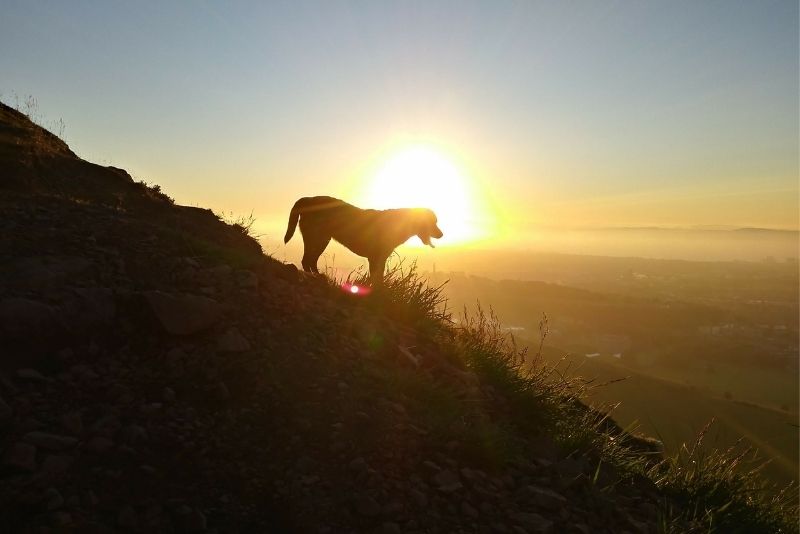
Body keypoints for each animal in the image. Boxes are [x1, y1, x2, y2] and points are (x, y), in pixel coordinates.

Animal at [284, 198, 444, 282]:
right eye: (432, 222)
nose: (441, 234)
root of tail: (308, 199)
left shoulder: (380, 259)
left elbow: (378, 278)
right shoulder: (375, 258)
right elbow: (376, 280)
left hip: (320, 239)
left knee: (310, 260)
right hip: (318, 238)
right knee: (307, 260)